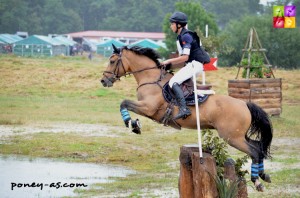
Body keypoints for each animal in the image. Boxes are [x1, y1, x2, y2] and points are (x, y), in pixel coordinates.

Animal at [100, 44, 272, 190]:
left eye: (112, 61)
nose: (103, 80)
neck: (151, 78)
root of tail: (244, 104)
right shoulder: (148, 110)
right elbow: (125, 104)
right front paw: (135, 123)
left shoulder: (148, 107)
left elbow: (124, 103)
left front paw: (132, 124)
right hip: (239, 135)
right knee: (259, 147)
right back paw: (263, 175)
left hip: (232, 137)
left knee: (254, 152)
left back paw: (257, 181)